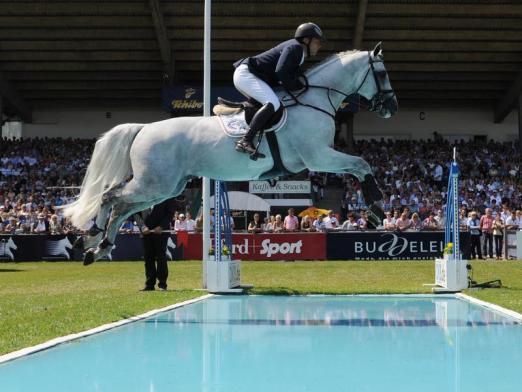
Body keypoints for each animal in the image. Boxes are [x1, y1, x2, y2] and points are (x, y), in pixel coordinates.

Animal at [65, 42, 398, 264]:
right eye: (382, 73)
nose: (391, 108)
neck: (315, 99)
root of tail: (144, 128)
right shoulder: (319, 156)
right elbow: (362, 164)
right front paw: (378, 209)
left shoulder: (323, 157)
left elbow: (359, 167)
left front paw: (374, 210)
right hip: (154, 183)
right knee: (110, 197)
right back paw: (92, 237)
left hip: (165, 187)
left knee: (121, 207)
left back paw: (97, 245)